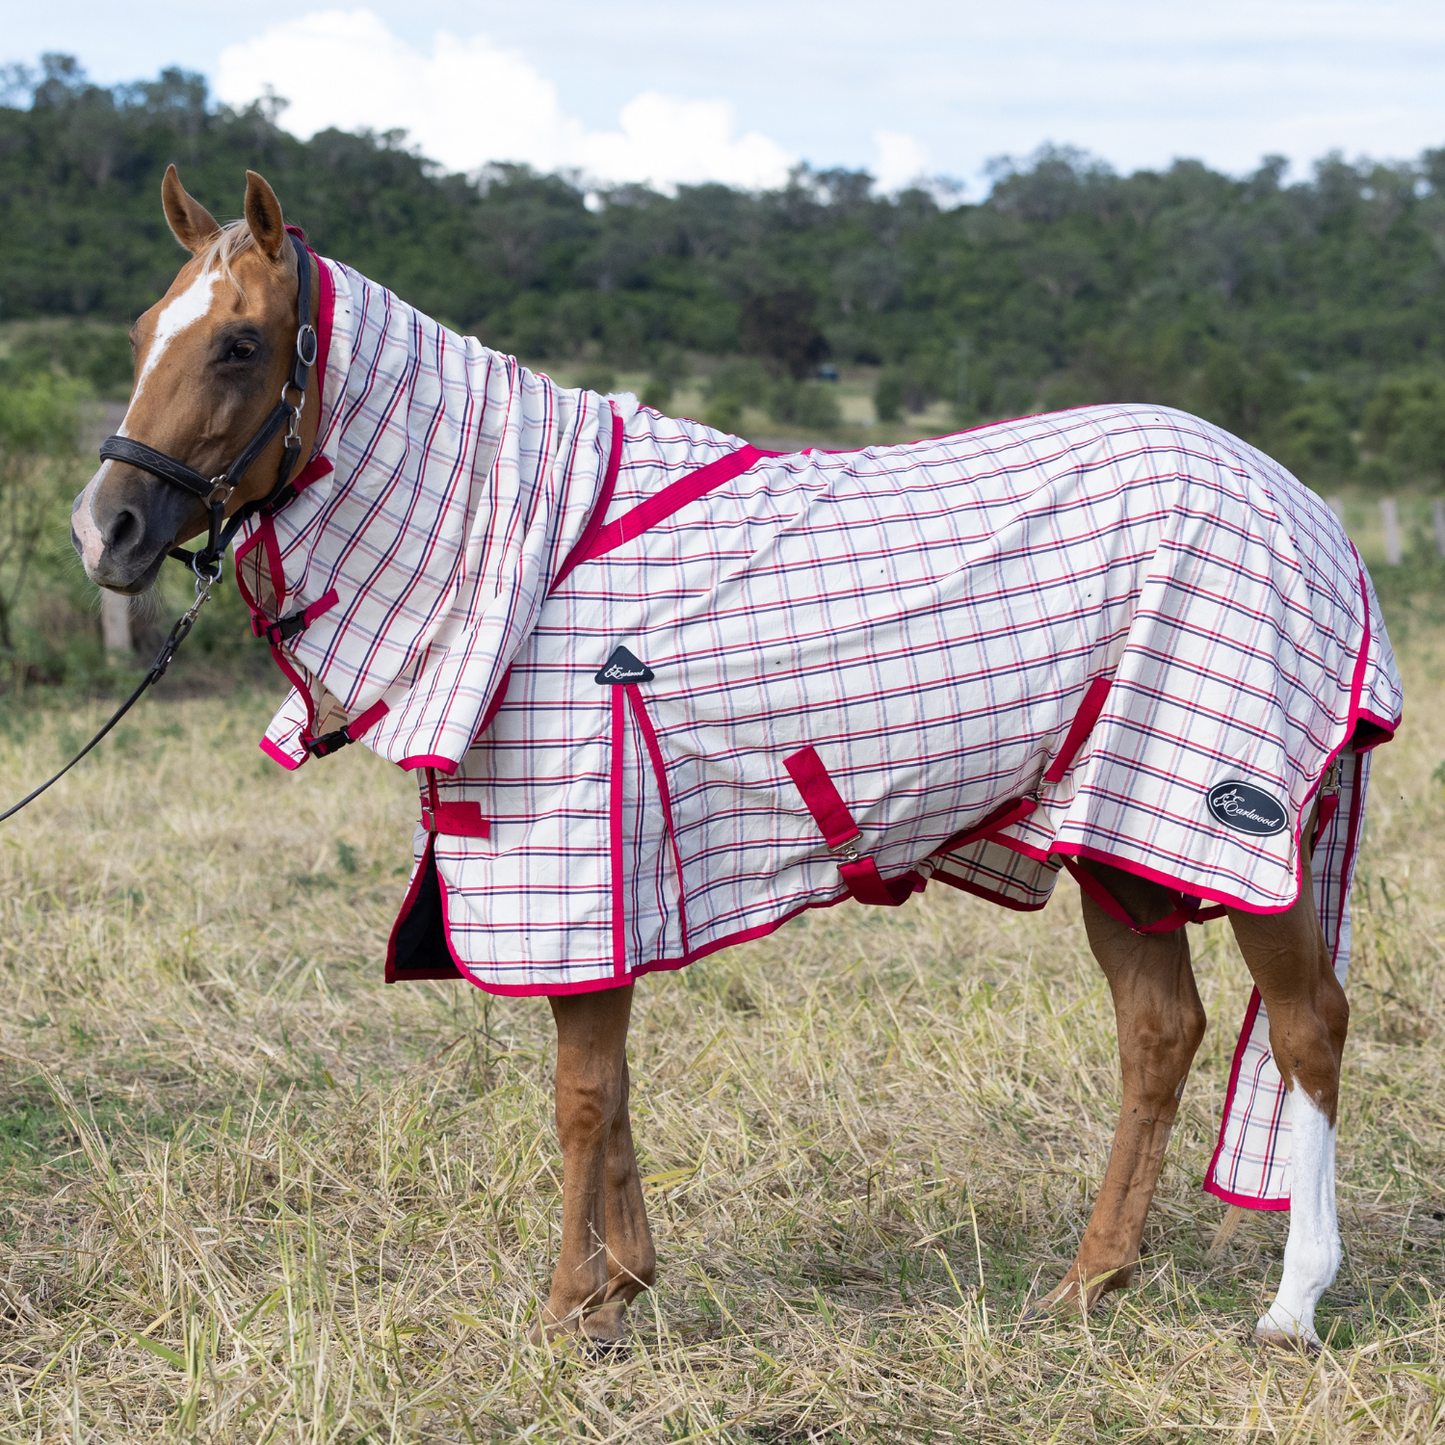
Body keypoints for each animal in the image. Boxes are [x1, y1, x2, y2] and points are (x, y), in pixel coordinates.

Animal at [70, 166, 1398, 1352]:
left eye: (241, 344)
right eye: (142, 331)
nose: (106, 529)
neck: (526, 557)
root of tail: (1307, 509)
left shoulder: (577, 864)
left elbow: (580, 1094)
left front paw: (568, 1310)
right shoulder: (598, 888)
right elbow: (606, 1084)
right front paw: (618, 1288)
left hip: (1229, 827)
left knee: (1305, 1027)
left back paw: (1291, 1303)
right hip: (1115, 833)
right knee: (1158, 1031)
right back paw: (1089, 1280)